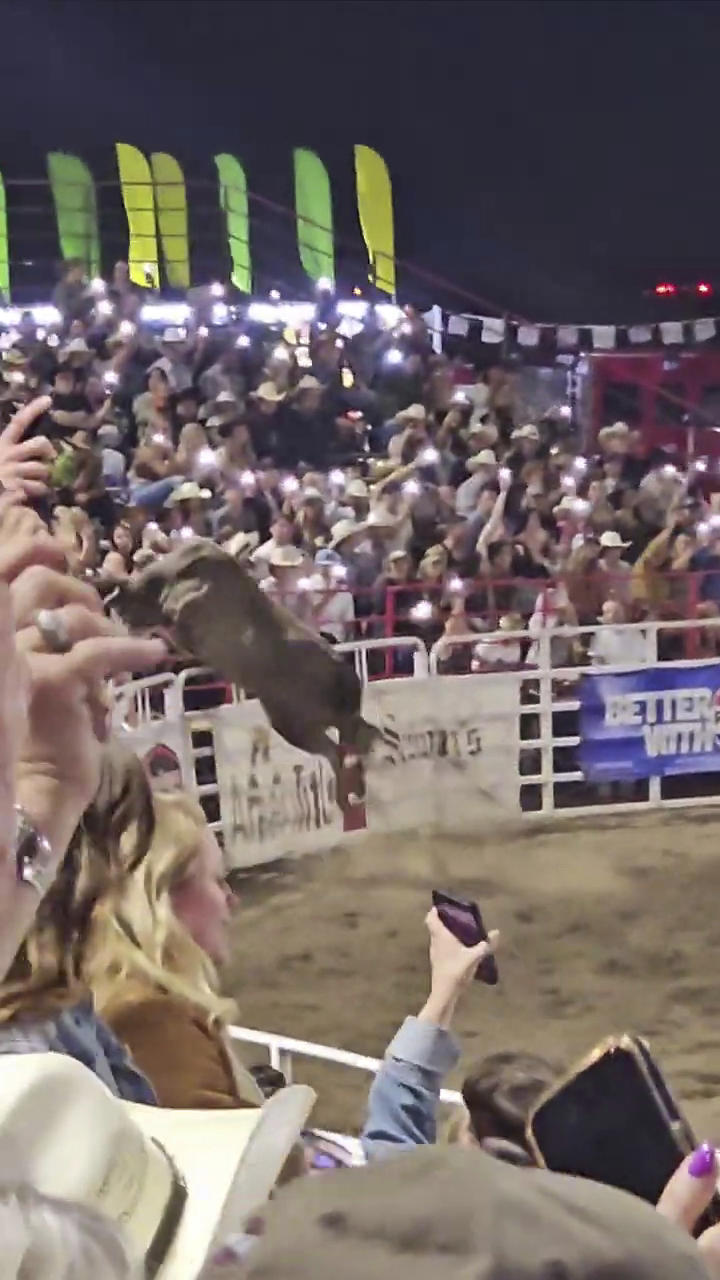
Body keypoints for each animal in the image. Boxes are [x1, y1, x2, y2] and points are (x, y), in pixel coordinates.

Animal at [109, 537, 379, 783]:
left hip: (301, 724)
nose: (113, 601)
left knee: (342, 748)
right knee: (348, 744)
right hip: (294, 722)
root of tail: (347, 679)